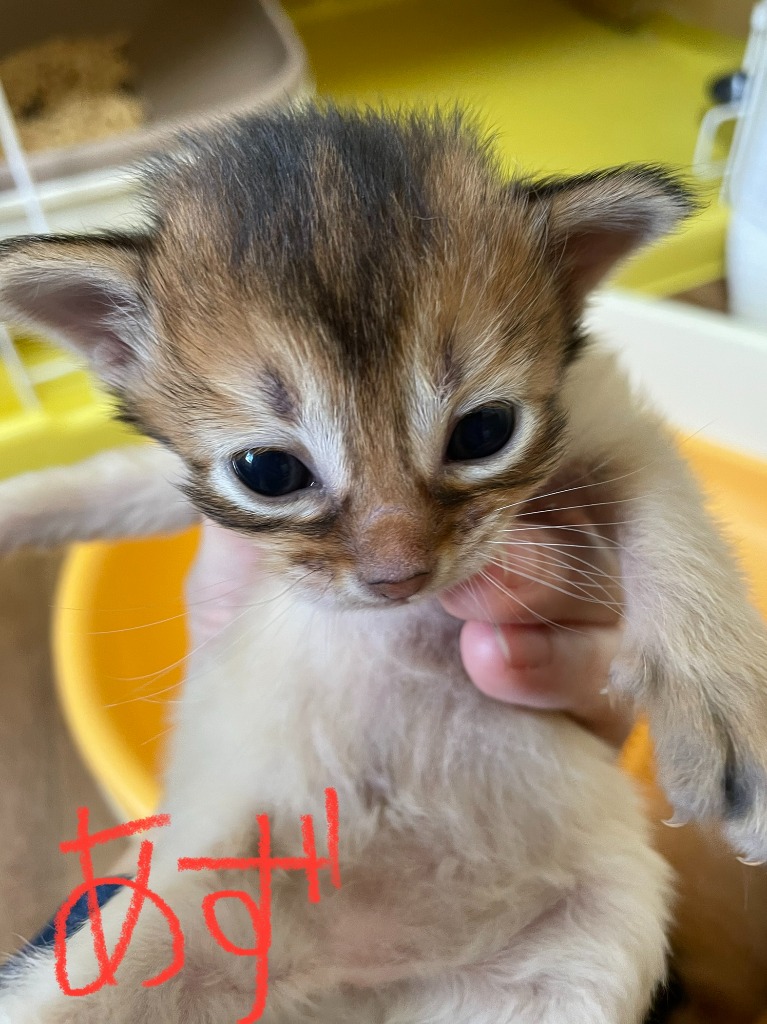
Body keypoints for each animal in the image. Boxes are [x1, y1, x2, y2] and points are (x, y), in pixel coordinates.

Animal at [0, 104, 766, 1023]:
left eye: (483, 432)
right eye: (268, 471)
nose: (396, 575)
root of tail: (360, 980)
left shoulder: (606, 420)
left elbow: (672, 522)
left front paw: (718, 707)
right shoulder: (174, 483)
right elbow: (98, 484)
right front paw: (15, 505)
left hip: (589, 951)